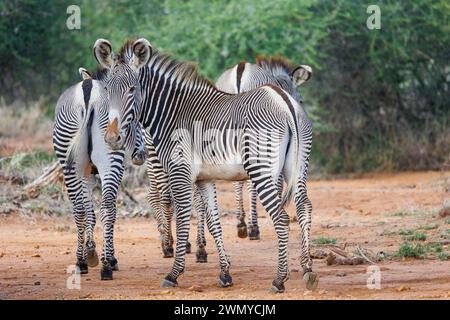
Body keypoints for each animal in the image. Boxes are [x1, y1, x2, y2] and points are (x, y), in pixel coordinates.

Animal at [52, 67, 145, 280]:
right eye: (136, 123)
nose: (141, 156)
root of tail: (88, 92)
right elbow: (109, 211)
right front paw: (108, 257)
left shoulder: (87, 173)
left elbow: (89, 212)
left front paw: (90, 252)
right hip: (111, 159)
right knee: (107, 209)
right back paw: (106, 267)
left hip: (69, 159)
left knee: (78, 209)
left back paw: (80, 262)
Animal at [216, 57, 312, 241]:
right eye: (301, 100)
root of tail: (239, 72)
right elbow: (278, 183)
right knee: (252, 184)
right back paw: (253, 228)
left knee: (238, 182)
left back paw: (241, 225)